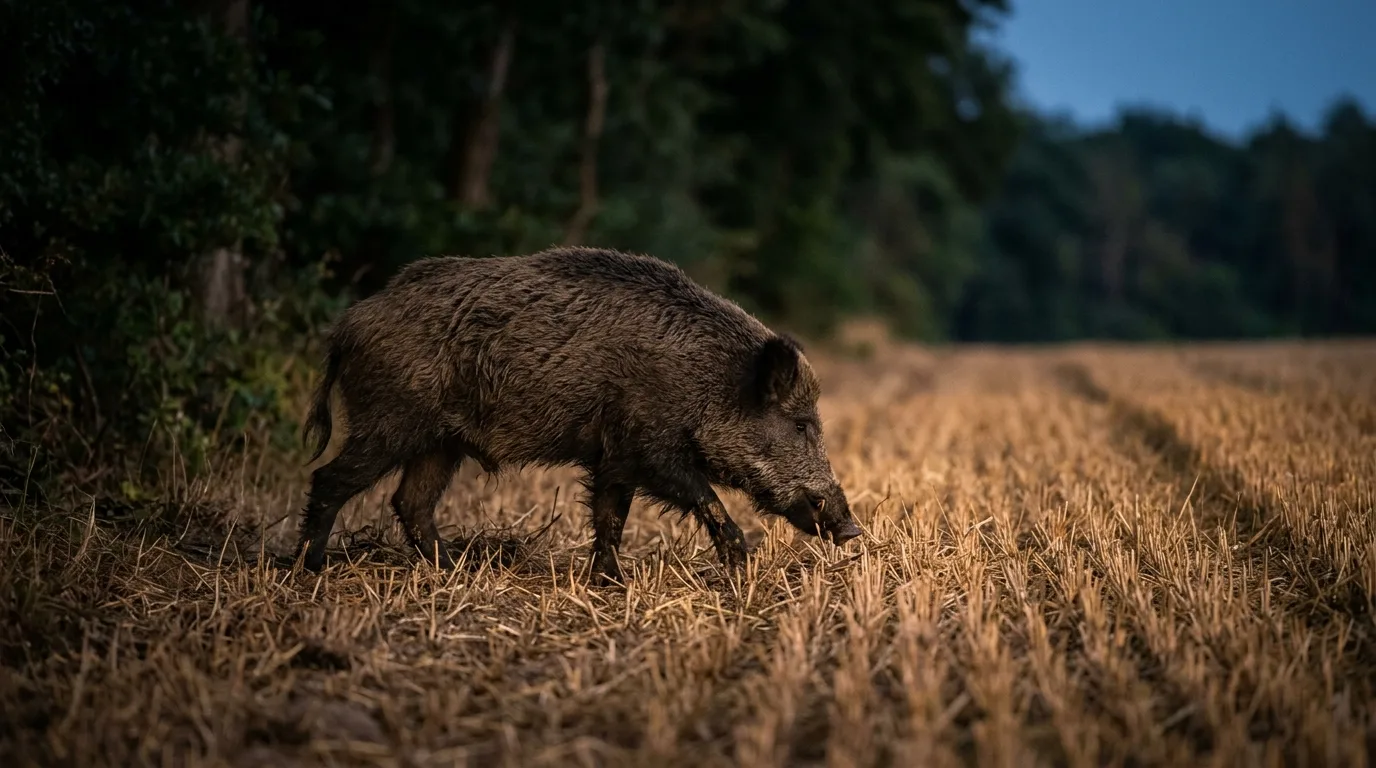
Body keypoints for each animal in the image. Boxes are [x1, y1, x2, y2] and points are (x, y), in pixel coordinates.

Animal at [294, 245, 862, 583]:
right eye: (801, 424)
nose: (852, 528)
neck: (710, 382)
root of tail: (348, 324)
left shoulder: (615, 456)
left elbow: (611, 516)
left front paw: (611, 582)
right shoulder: (649, 447)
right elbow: (705, 500)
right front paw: (741, 566)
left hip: (441, 442)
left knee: (410, 502)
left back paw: (460, 570)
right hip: (390, 421)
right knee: (331, 479)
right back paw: (310, 567)